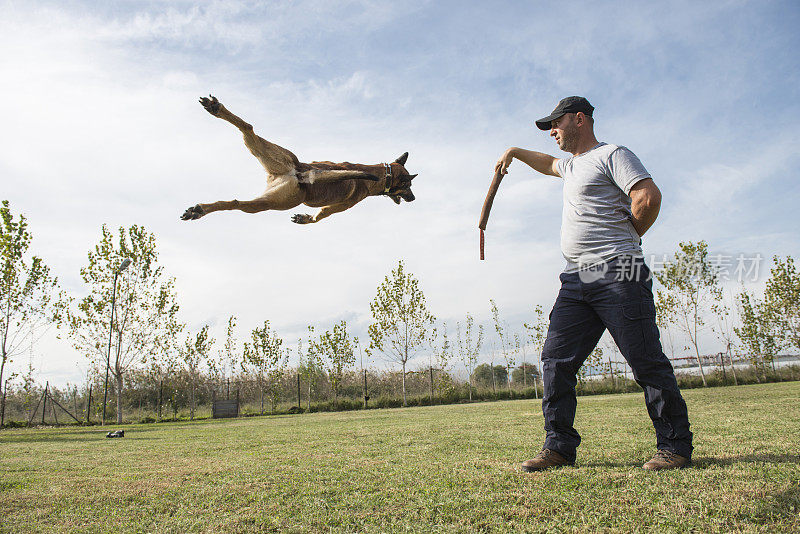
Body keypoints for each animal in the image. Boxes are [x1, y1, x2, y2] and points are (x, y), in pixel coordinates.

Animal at [181, 97, 418, 225]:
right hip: (278, 201)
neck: (381, 173)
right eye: (408, 186)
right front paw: (308, 218)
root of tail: (300, 174)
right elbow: (320, 217)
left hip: (271, 173)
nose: (413, 198)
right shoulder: (339, 207)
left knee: (247, 131)